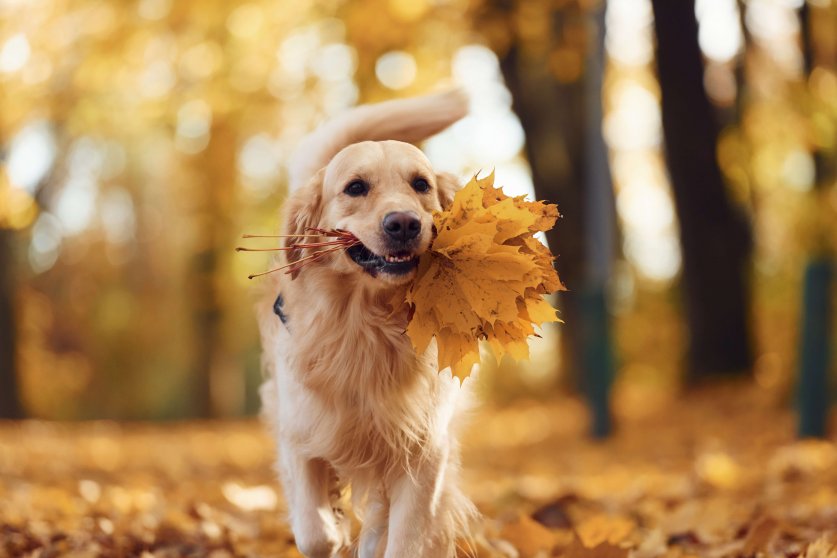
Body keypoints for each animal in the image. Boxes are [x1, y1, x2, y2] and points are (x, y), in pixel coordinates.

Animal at [255, 89, 476, 556]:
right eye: (355, 187)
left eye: (421, 185)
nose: (404, 223)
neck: (367, 325)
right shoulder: (299, 430)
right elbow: (315, 533)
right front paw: (334, 525)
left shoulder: (424, 451)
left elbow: (405, 539)